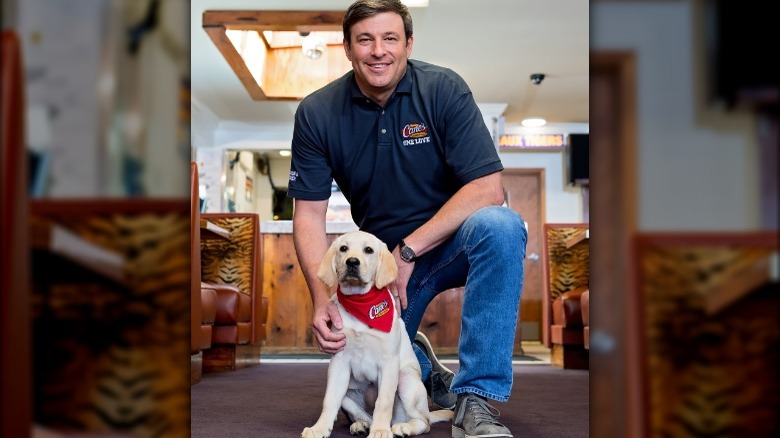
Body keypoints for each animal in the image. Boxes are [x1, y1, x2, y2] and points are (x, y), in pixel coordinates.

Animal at [302, 229, 454, 438]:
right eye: (343, 248)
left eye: (368, 250)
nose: (352, 262)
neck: (361, 302)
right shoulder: (339, 362)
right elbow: (330, 399)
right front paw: (319, 428)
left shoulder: (388, 362)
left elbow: (383, 401)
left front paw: (381, 431)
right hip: (349, 393)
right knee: (362, 412)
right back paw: (362, 425)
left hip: (406, 379)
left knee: (424, 422)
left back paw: (402, 427)